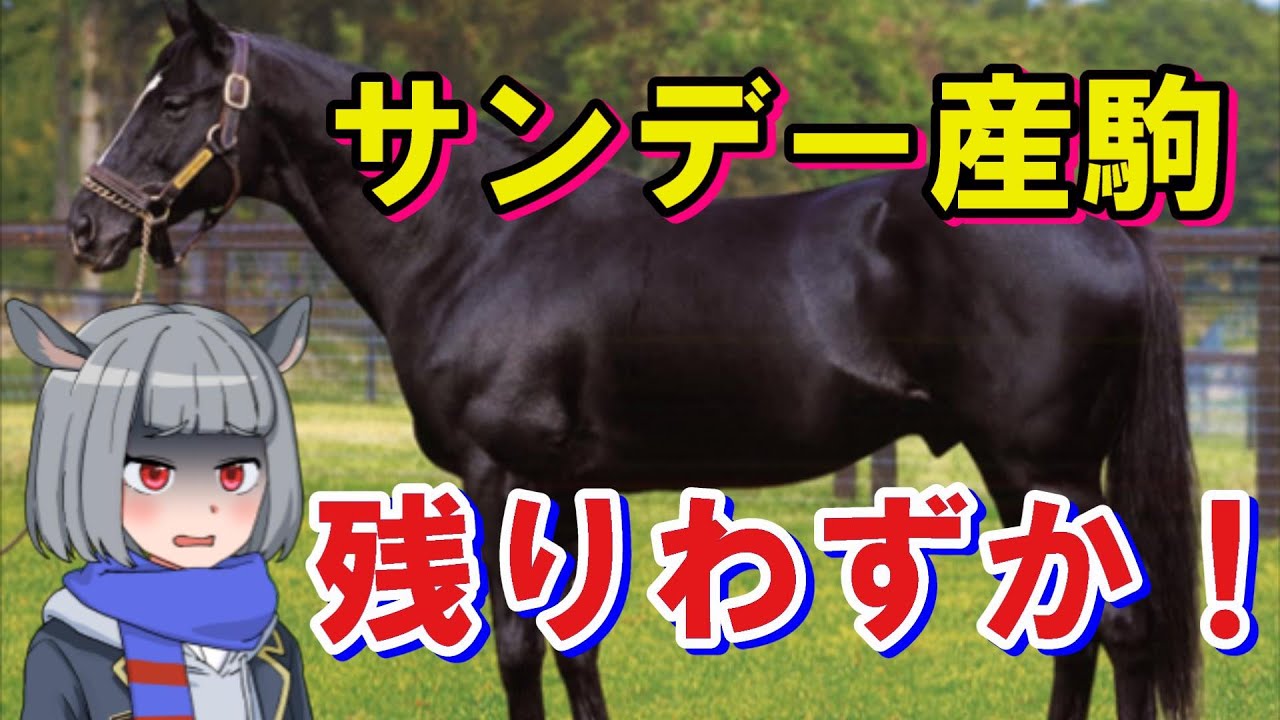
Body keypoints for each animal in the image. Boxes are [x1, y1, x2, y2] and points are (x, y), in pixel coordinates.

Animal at [65, 2, 1200, 719]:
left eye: (173, 104)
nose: (87, 227)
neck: (476, 244)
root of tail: (1102, 224)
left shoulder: (503, 477)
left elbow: (519, 650)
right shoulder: (563, 487)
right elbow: (575, 646)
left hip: (1041, 466)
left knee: (1116, 628)